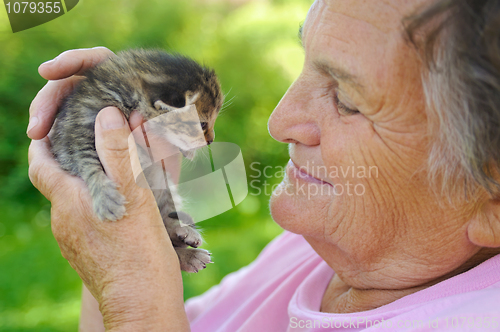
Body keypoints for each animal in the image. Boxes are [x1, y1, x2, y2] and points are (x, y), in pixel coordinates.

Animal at [49, 49, 224, 272]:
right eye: (202, 124)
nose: (211, 140)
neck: (126, 94)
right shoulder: (75, 138)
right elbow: (88, 164)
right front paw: (106, 198)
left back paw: (184, 233)